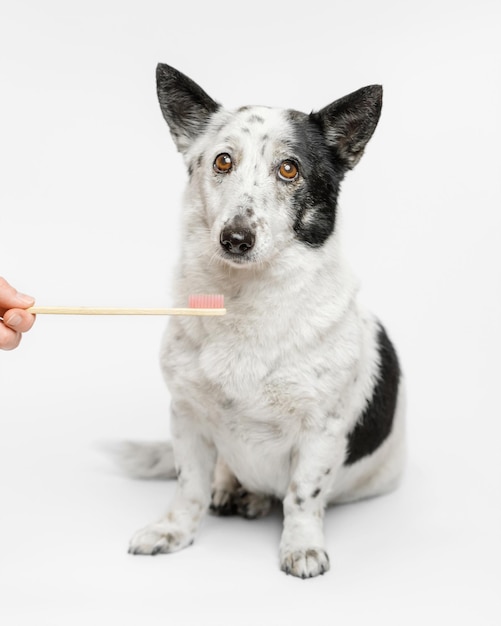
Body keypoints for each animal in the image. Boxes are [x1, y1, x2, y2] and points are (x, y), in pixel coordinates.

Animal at [123, 63, 404, 576]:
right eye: (222, 162)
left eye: (289, 168)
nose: (236, 238)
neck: (243, 300)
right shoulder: (187, 417)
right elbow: (188, 488)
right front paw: (174, 531)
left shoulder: (321, 433)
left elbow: (301, 496)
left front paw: (301, 546)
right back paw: (232, 491)